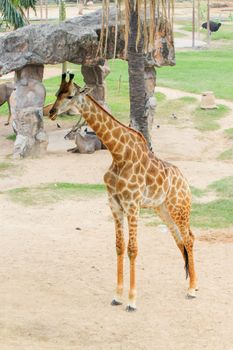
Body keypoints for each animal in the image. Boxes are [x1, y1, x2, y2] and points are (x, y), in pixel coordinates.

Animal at [49, 73, 198, 312]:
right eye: (56, 93)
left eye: (70, 95)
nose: (52, 112)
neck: (118, 153)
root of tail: (184, 180)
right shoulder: (115, 205)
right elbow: (119, 247)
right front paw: (117, 296)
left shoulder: (132, 205)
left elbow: (132, 249)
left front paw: (132, 301)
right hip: (163, 209)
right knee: (180, 240)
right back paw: (191, 285)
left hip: (179, 206)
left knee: (189, 238)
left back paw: (192, 290)